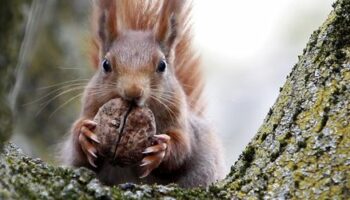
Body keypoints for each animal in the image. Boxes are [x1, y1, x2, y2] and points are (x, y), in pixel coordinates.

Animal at [59, 0, 224, 188]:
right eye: (106, 64)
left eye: (162, 65)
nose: (133, 91)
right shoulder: (90, 107)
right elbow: (78, 153)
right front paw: (84, 134)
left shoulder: (181, 122)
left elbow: (182, 148)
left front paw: (161, 149)